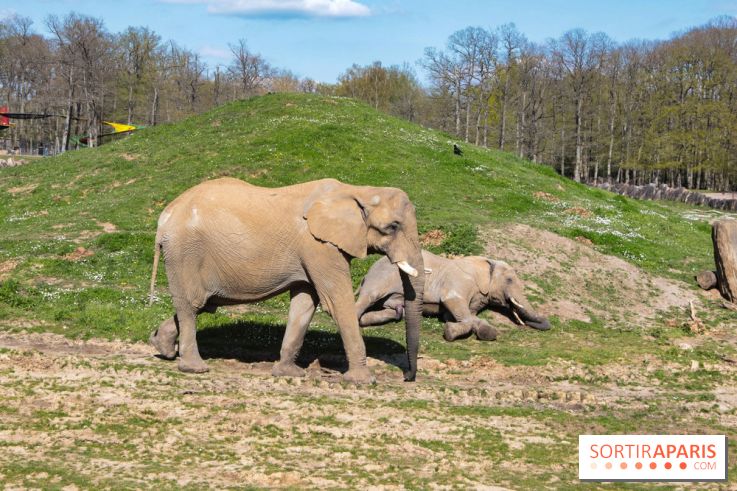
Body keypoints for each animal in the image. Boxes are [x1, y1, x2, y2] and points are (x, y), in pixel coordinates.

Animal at [148, 177, 425, 384]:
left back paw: (162, 346)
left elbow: (304, 303)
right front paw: (363, 381)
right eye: (393, 227)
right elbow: (337, 302)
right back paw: (194, 368)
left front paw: (288, 373)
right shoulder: (319, 246)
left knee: (200, 304)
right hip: (184, 253)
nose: (407, 378)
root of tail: (164, 218)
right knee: (191, 304)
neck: (358, 190)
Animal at [355, 249, 550, 342]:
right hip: (381, 277)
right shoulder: (458, 283)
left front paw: (487, 331)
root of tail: (368, 272)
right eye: (509, 280)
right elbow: (455, 306)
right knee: (367, 298)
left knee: (393, 311)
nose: (548, 323)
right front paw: (449, 332)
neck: (485, 263)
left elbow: (467, 316)